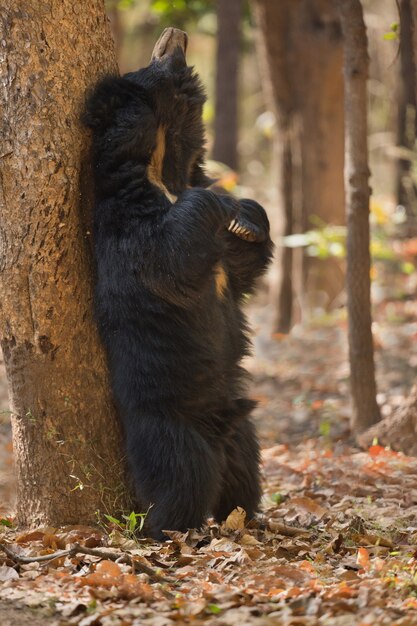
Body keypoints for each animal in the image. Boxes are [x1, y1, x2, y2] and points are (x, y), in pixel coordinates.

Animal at [84, 28, 272, 536]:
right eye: (147, 66)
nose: (175, 32)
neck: (164, 162)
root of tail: (218, 427)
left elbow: (241, 268)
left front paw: (247, 217)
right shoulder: (127, 226)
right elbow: (171, 255)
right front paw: (222, 203)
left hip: (243, 434)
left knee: (243, 476)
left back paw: (247, 519)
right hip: (167, 424)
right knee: (180, 477)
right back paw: (164, 529)